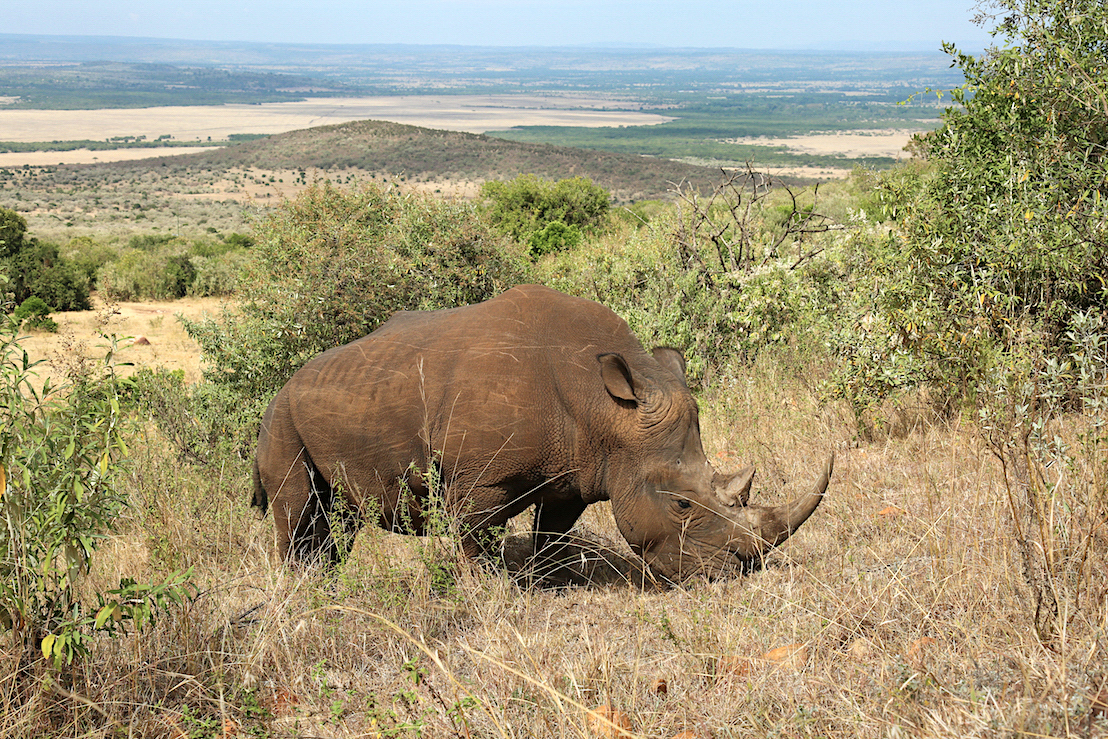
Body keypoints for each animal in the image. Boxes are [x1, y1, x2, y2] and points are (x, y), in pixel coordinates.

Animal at [253, 284, 832, 583]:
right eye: (683, 505)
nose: (735, 574)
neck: (608, 410)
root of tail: (284, 386)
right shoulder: (479, 481)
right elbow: (477, 541)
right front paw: (491, 594)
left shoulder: (580, 470)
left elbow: (553, 532)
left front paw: (548, 581)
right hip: (280, 419)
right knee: (298, 511)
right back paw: (303, 590)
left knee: (342, 516)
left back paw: (329, 584)